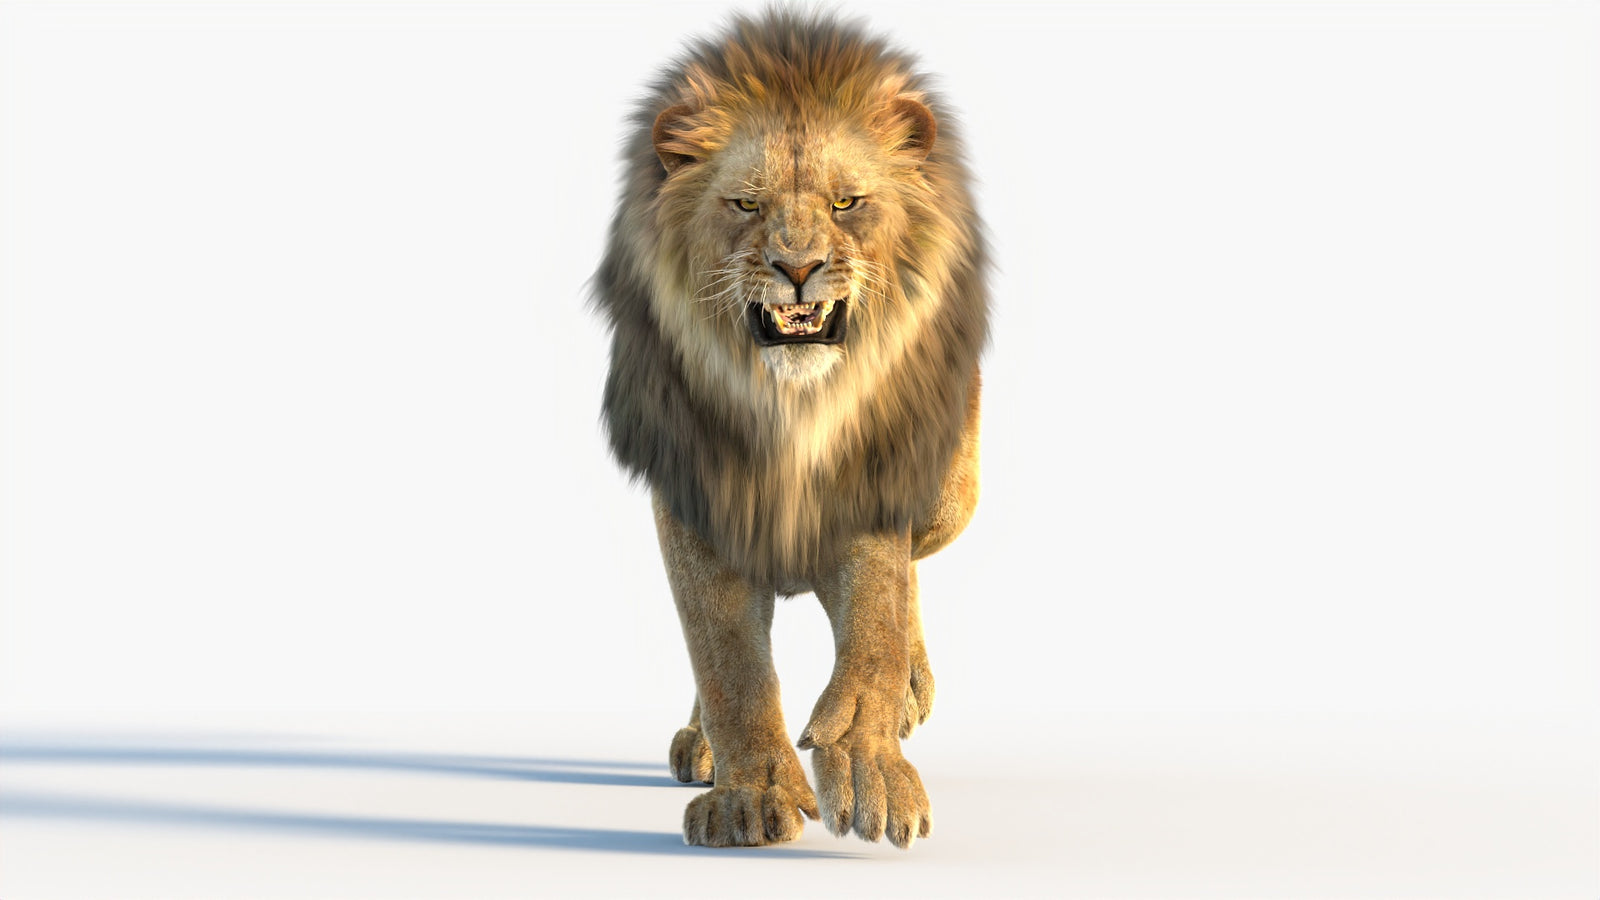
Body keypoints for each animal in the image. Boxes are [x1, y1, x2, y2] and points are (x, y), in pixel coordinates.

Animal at [592, 10, 988, 849]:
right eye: (746, 206)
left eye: (846, 204)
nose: (797, 267)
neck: (787, 412)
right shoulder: (697, 505)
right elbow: (728, 660)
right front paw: (751, 797)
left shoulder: (874, 482)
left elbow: (876, 624)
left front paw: (871, 770)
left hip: (953, 493)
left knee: (914, 567)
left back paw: (912, 688)